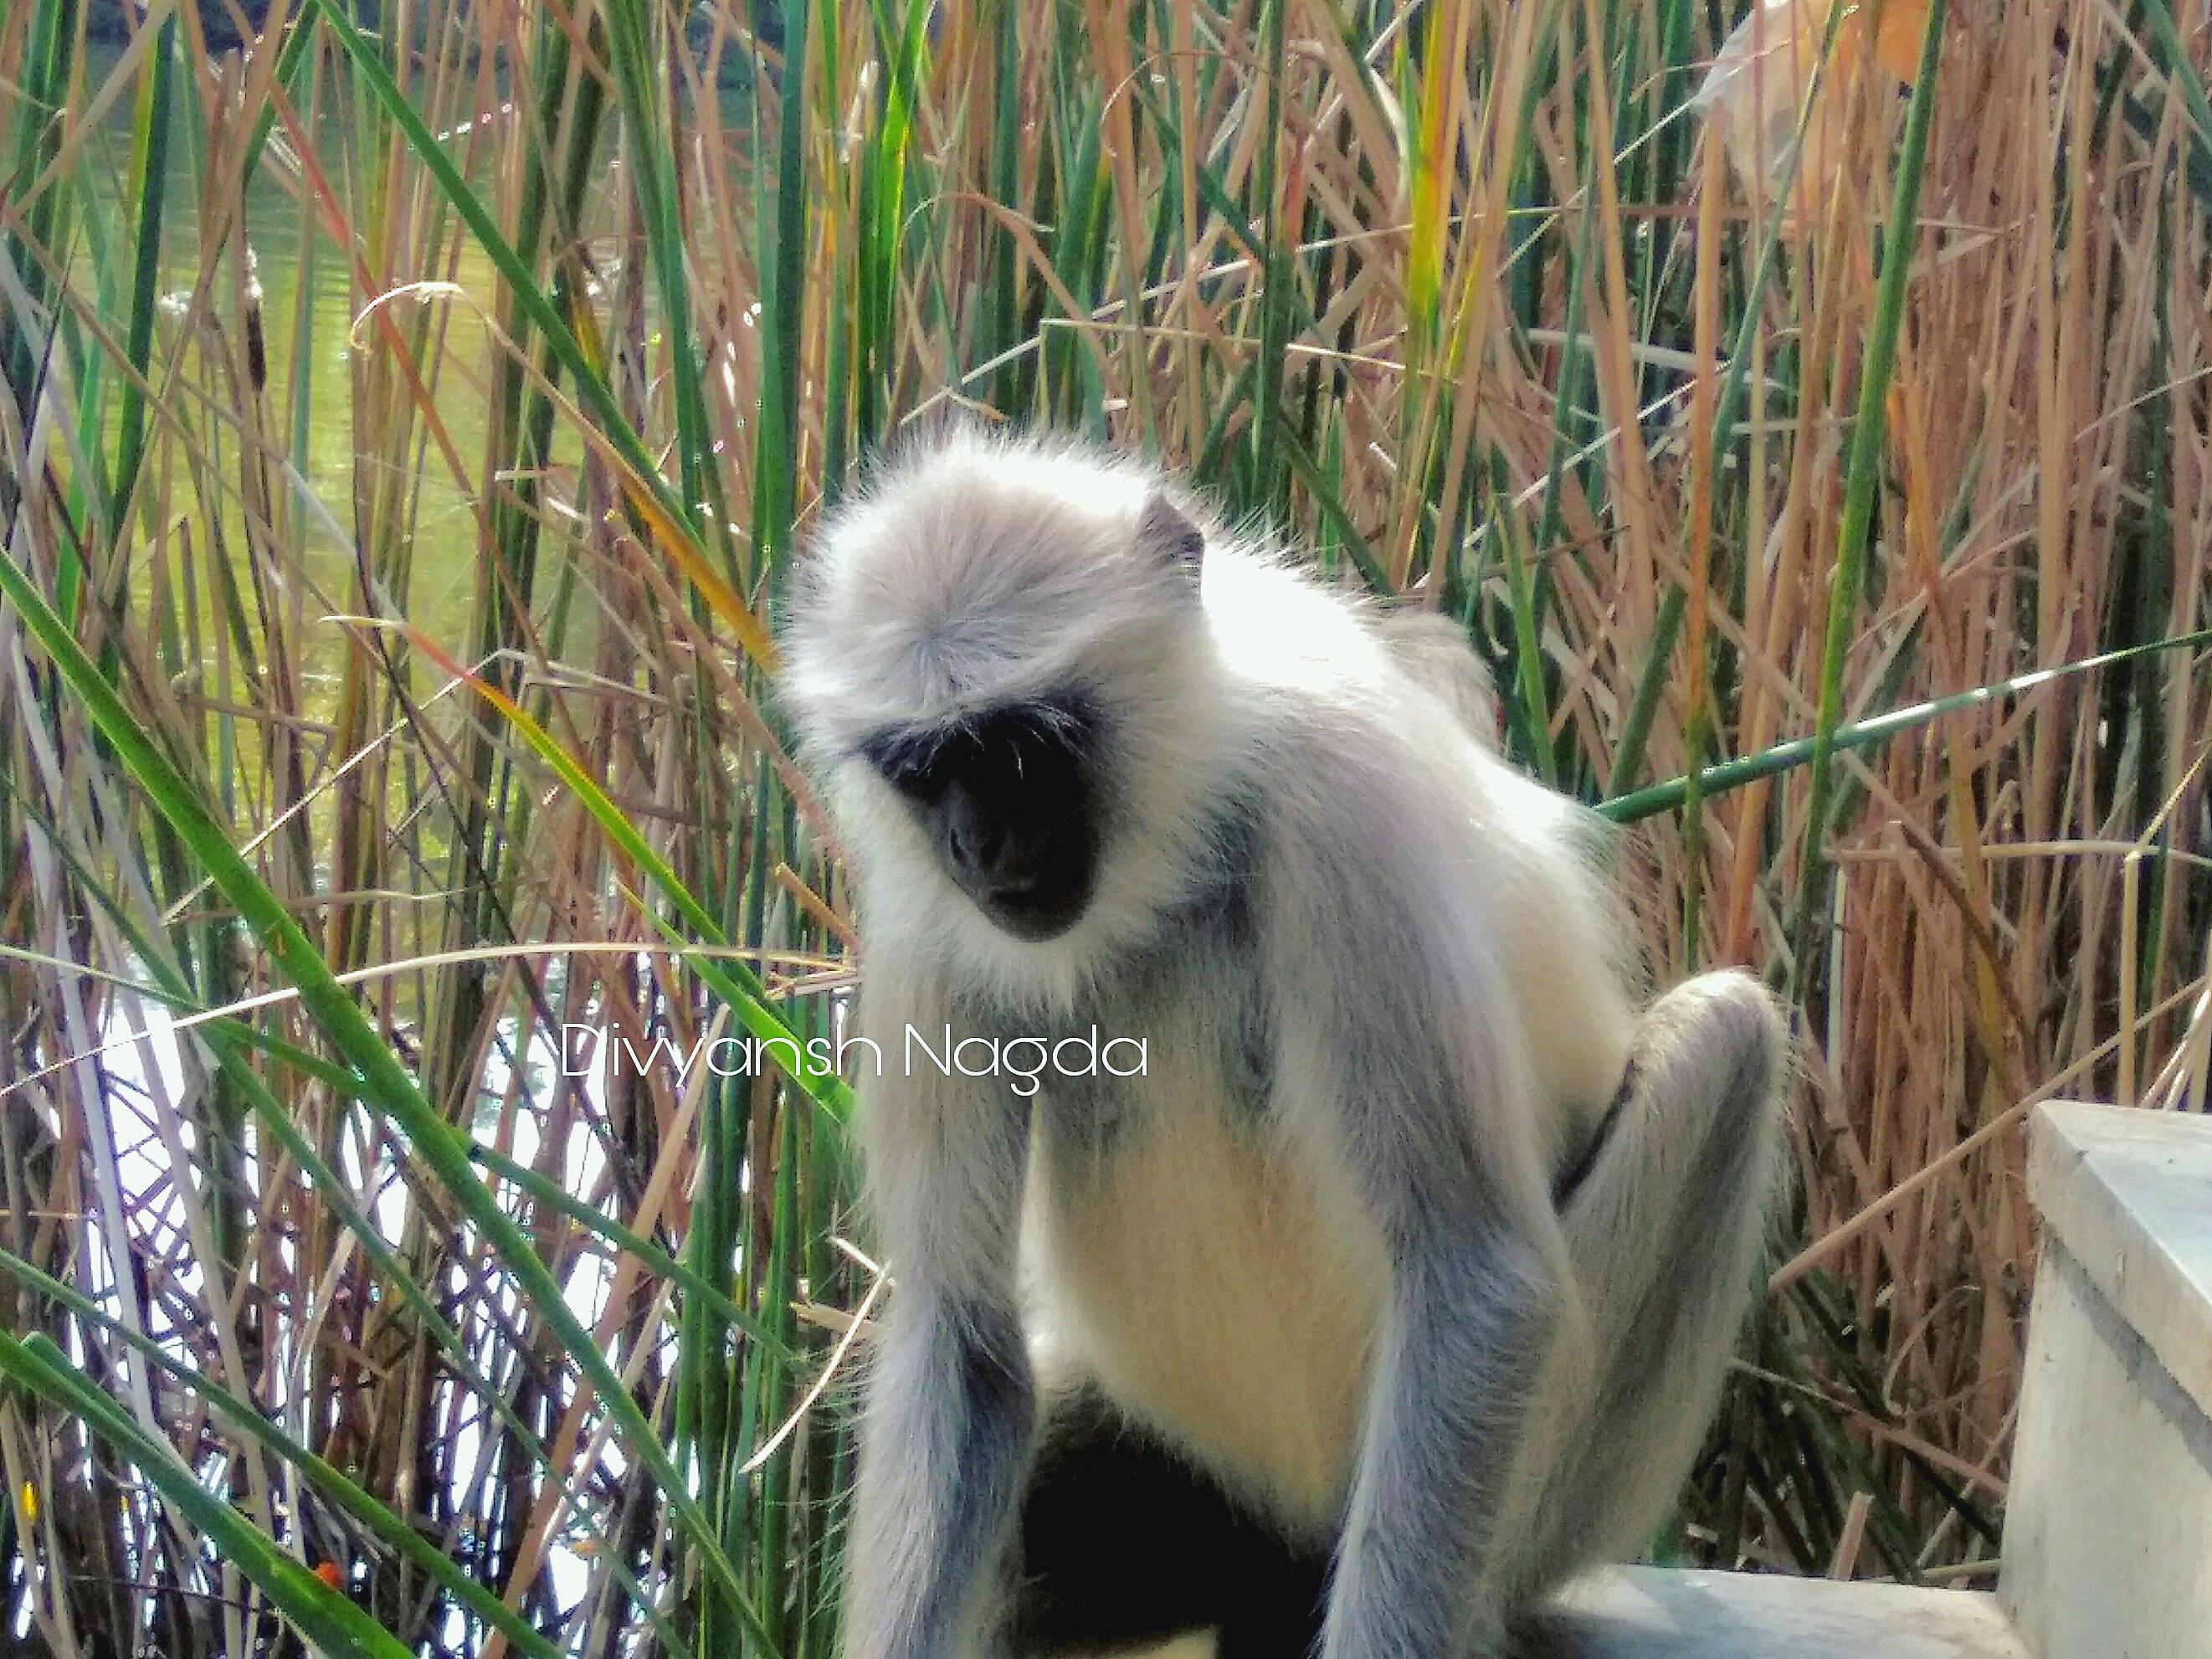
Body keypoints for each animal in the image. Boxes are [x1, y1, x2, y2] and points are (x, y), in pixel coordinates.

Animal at [779, 429, 1788, 1659]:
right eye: (923, 770)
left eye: (1018, 747)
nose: (974, 845)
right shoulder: (929, 913)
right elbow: (962, 1341)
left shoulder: (1335, 802)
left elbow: (1473, 1272)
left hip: (1520, 1504)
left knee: (1727, 1037)